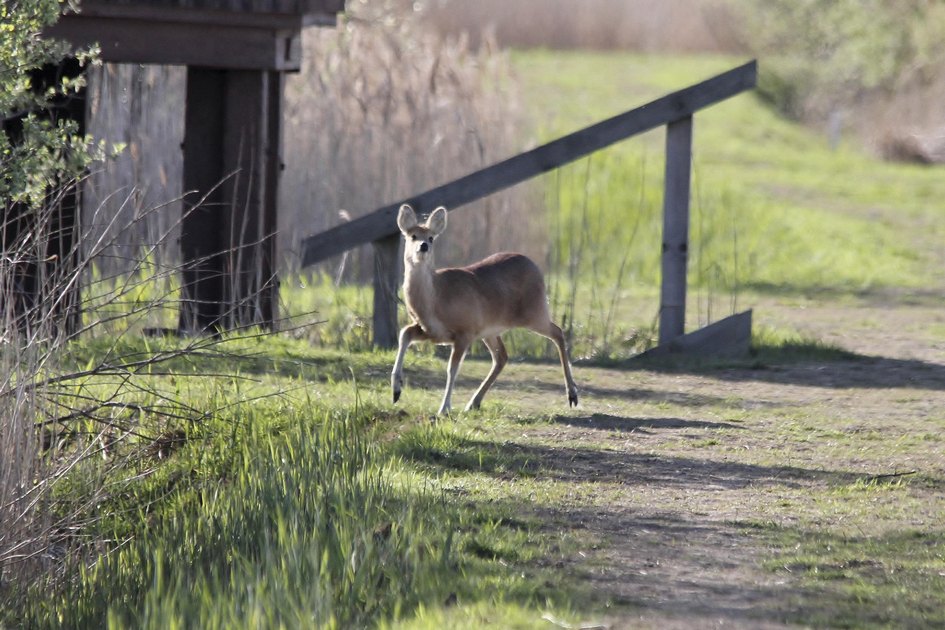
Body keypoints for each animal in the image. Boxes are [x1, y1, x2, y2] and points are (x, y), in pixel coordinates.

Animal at [390, 205, 580, 418]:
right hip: (490, 330)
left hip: (535, 311)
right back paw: (473, 402)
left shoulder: (465, 330)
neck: (436, 297)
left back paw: (572, 395)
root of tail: (536, 268)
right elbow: (404, 333)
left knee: (558, 332)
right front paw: (396, 391)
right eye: (412, 236)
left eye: (431, 238)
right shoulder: (430, 330)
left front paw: (444, 408)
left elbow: (452, 369)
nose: (423, 246)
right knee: (502, 357)